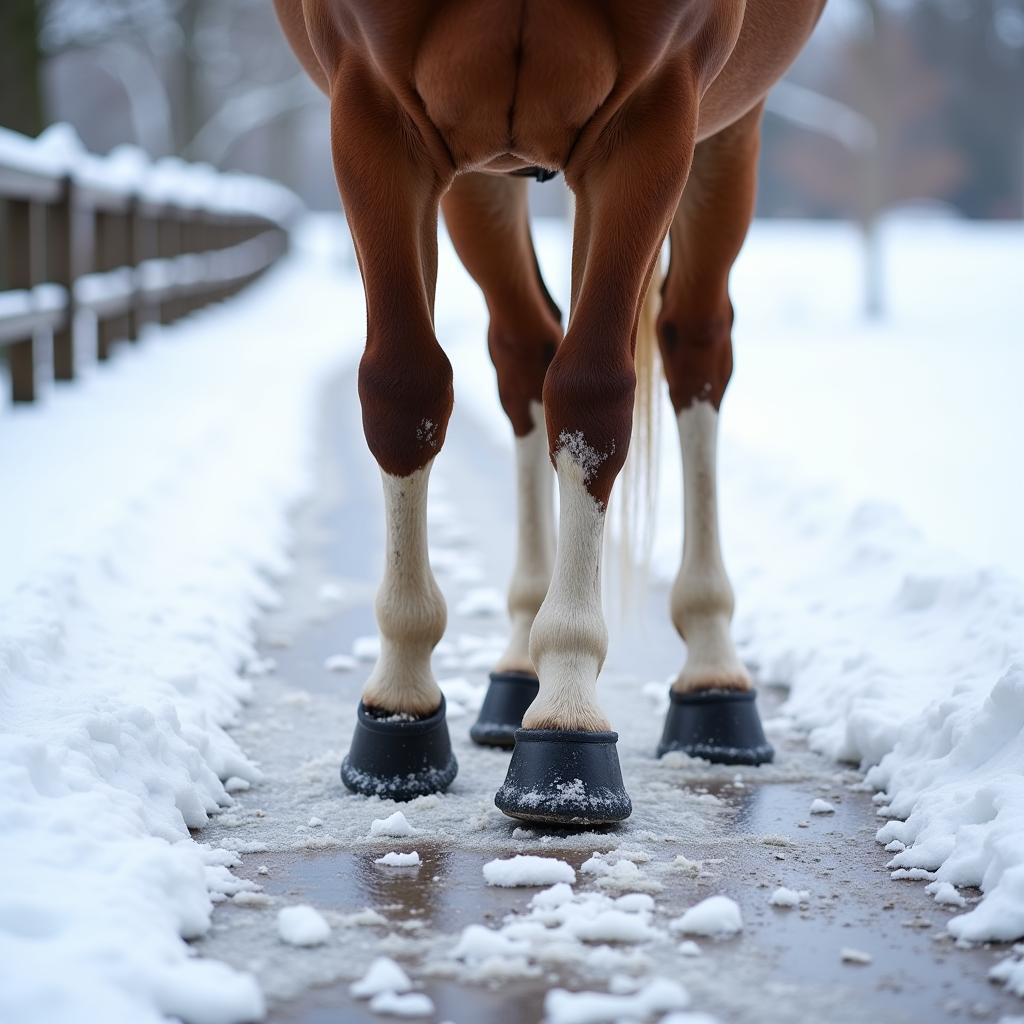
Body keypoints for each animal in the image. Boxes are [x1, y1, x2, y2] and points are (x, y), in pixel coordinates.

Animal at [272, 0, 823, 823]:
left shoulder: (654, 114)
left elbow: (593, 395)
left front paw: (567, 713)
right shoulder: (370, 105)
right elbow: (404, 389)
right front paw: (400, 707)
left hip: (729, 129)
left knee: (693, 346)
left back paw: (712, 676)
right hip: (483, 178)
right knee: (525, 347)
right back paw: (514, 671)